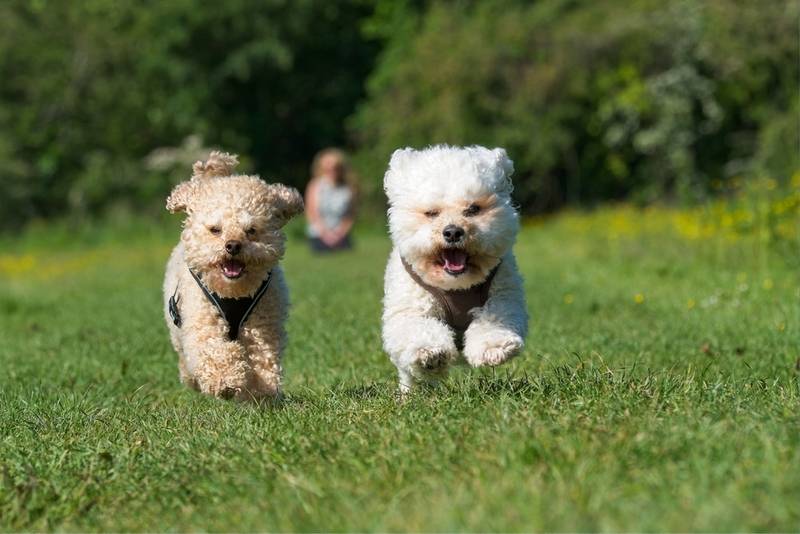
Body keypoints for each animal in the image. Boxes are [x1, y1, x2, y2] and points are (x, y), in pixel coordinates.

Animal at [162, 152, 304, 402]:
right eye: (215, 229)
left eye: (252, 230)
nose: (233, 245)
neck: (233, 293)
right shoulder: (201, 320)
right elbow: (212, 349)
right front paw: (225, 380)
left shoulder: (263, 323)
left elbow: (263, 357)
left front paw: (261, 393)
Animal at [382, 144, 528, 392]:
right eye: (431, 213)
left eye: (473, 209)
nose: (452, 232)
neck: (456, 285)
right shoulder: (409, 307)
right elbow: (416, 326)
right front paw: (430, 353)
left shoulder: (503, 294)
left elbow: (494, 318)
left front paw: (494, 347)